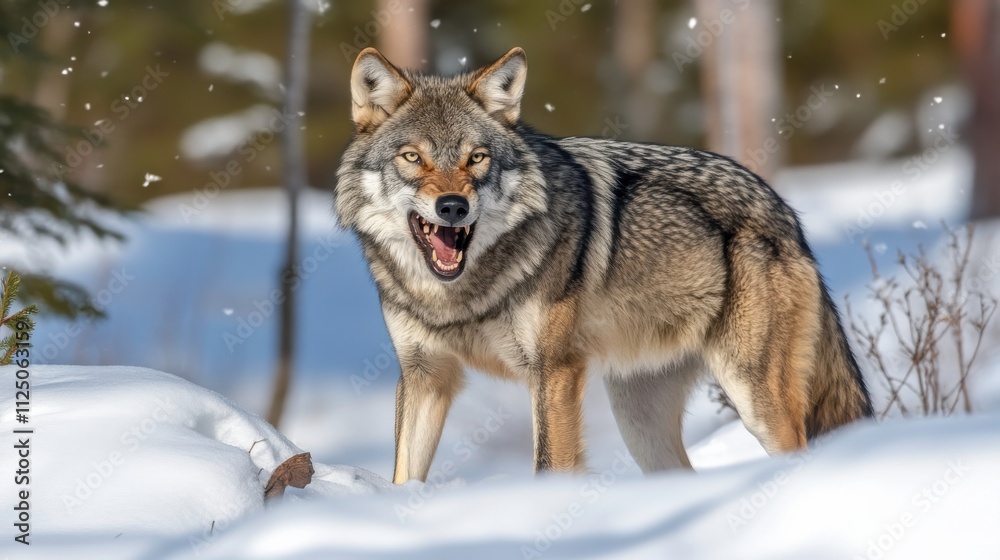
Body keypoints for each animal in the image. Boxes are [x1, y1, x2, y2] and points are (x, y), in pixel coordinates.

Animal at [334, 47, 873, 483]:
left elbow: (550, 465)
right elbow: (404, 475)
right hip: (639, 421)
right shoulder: (425, 375)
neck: (458, 296)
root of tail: (786, 213)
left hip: (753, 397)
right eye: (412, 157)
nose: (452, 207)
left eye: (477, 158)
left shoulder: (554, 371)